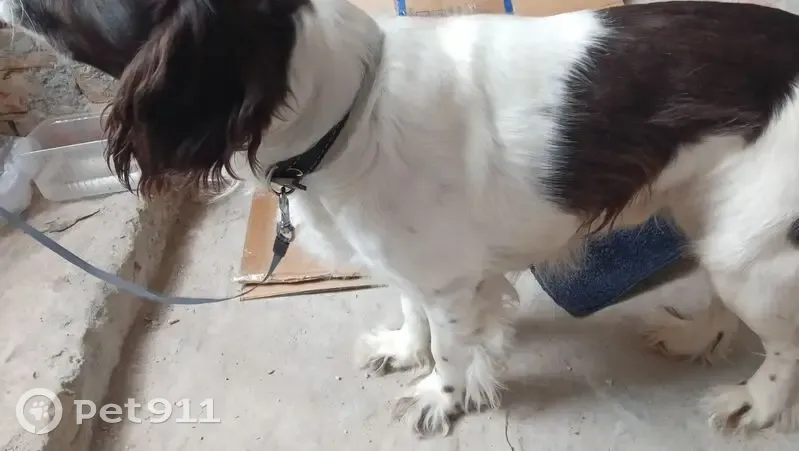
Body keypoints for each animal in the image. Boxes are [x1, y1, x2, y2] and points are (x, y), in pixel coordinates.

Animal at [3, 0, 799, 437]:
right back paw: (696, 335)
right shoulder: (410, 265)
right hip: (712, 215)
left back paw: (754, 404)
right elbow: (411, 313)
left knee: (783, 343)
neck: (347, 108)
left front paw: (439, 398)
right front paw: (403, 349)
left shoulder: (449, 280)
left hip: (751, 247)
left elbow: (449, 350)